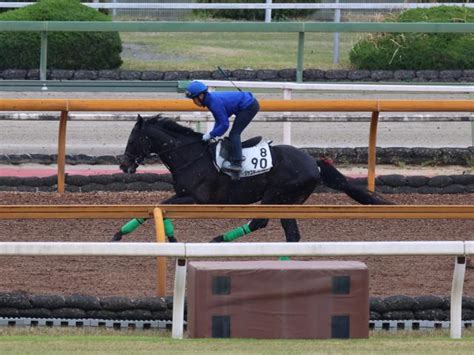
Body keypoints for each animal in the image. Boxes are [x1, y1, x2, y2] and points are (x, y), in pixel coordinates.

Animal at [115, 115, 392, 243]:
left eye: (133, 139)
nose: (124, 164)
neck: (190, 156)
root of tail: (314, 163)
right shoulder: (184, 195)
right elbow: (157, 209)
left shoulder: (196, 198)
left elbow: (159, 206)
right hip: (289, 202)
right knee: (292, 234)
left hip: (276, 196)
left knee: (260, 222)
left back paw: (218, 240)